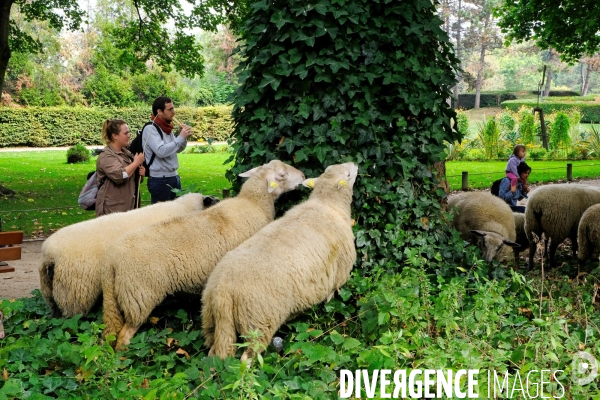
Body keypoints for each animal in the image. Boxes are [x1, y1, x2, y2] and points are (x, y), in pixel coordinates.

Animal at [101, 160, 308, 350]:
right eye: (282, 175)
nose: (304, 175)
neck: (253, 202)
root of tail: (111, 261)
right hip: (139, 296)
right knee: (124, 336)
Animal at [202, 161, 360, 360]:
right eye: (348, 175)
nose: (355, 163)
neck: (328, 204)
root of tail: (222, 291)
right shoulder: (339, 273)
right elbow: (331, 297)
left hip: (212, 321)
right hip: (258, 322)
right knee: (248, 356)